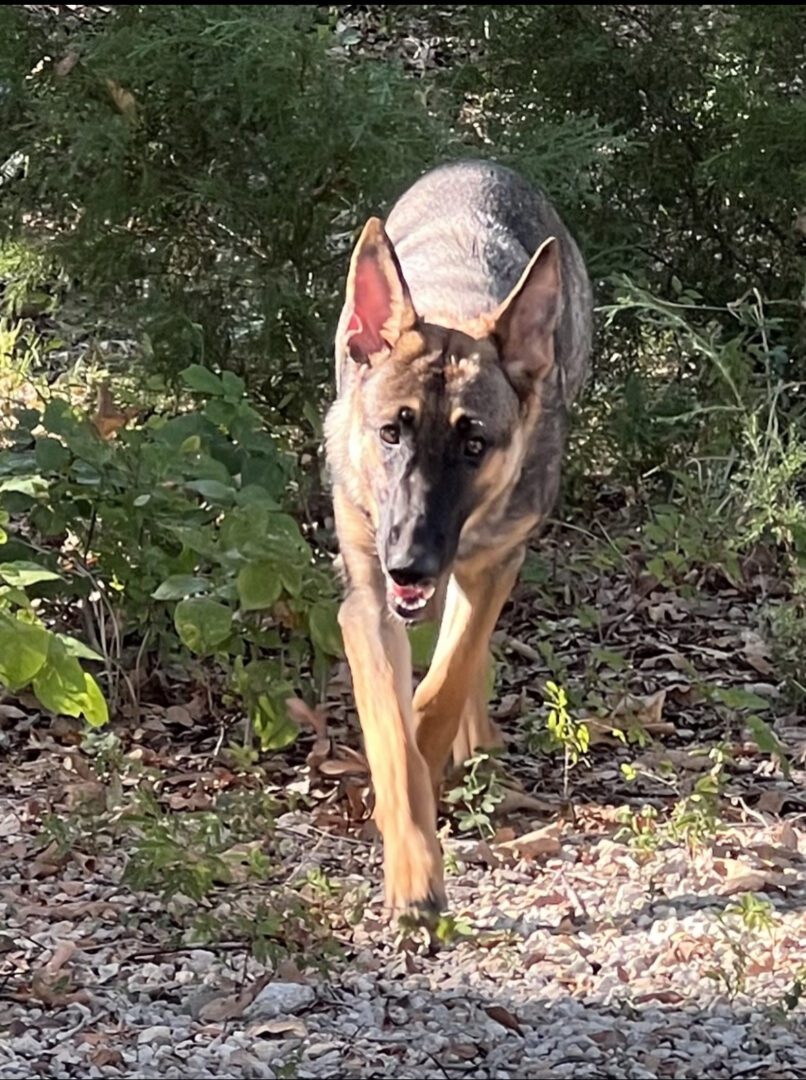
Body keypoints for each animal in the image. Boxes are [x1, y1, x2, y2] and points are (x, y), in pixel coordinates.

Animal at [321, 159, 592, 920]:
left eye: (474, 445)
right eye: (392, 432)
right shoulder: (368, 606)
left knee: (462, 650)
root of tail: (479, 162)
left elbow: (443, 687)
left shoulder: (495, 562)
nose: (409, 562)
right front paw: (412, 866)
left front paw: (439, 741)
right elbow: (393, 738)